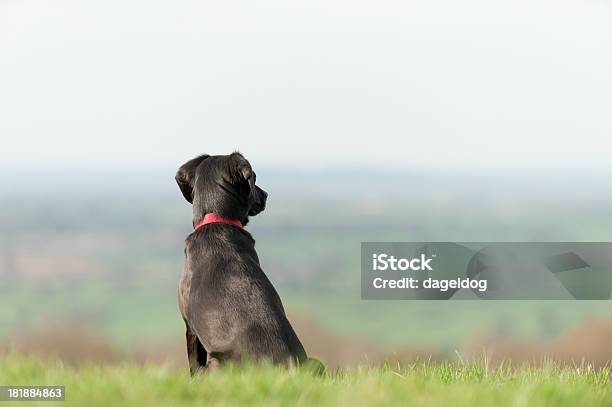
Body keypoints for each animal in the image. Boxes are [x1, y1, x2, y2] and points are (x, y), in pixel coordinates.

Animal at [176, 151, 310, 374]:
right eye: (255, 178)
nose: (266, 194)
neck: (218, 219)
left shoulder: (190, 327)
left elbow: (193, 366)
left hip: (217, 363)